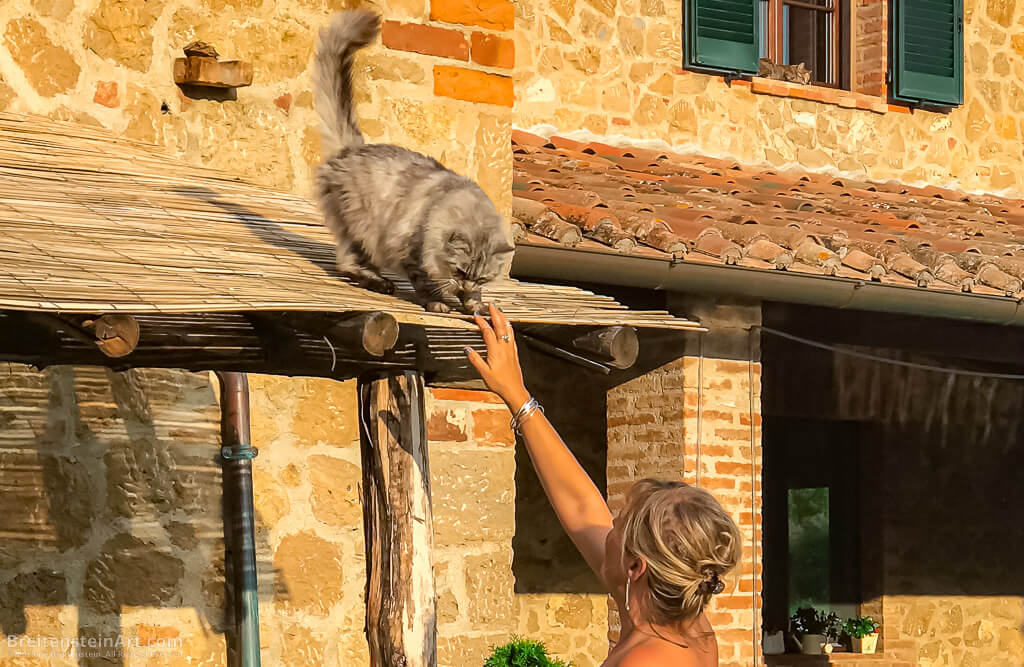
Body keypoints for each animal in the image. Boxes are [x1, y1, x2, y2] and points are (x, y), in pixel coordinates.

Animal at [309, 9, 512, 313]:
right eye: (460, 271)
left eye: (482, 278)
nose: (465, 286)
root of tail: (352, 148)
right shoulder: (411, 251)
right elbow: (426, 283)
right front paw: (439, 303)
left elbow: (474, 298)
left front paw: (474, 304)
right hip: (362, 228)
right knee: (346, 262)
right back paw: (379, 282)